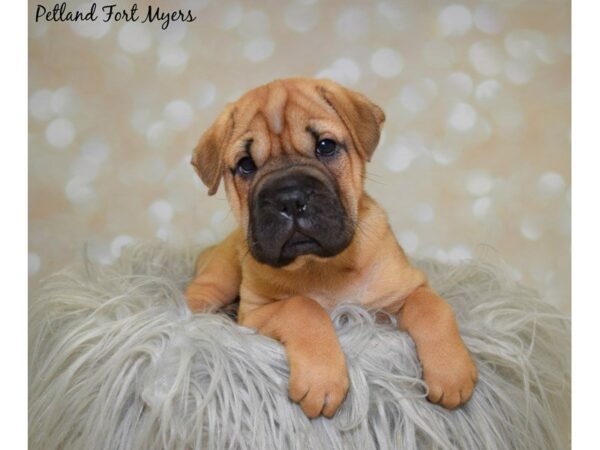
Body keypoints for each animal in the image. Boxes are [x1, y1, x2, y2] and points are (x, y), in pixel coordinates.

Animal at [185, 77, 476, 418]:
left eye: (325, 146)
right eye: (245, 165)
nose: (289, 198)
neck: (320, 265)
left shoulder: (406, 289)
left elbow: (432, 307)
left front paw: (451, 371)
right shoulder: (255, 314)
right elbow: (303, 307)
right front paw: (321, 379)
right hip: (219, 278)